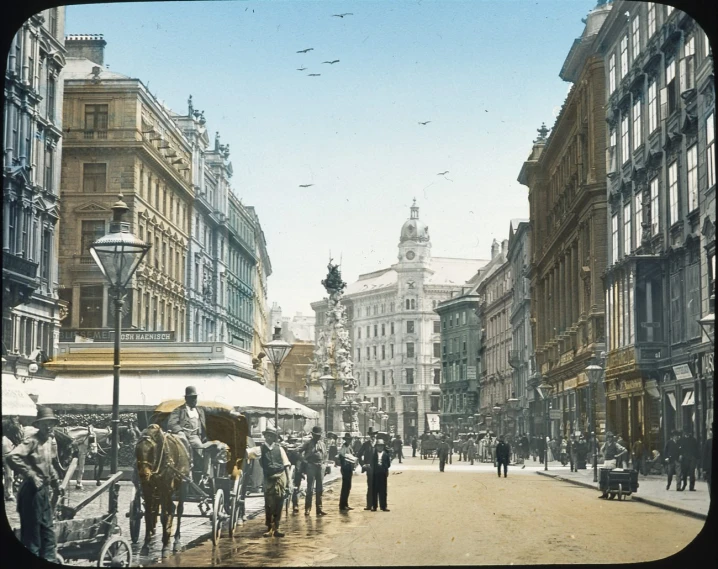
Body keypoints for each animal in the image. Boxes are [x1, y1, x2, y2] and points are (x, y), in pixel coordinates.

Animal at [135, 424, 191, 556]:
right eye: (137, 450)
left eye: (151, 450)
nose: (144, 474)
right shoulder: (148, 488)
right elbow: (148, 514)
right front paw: (146, 545)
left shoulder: (164, 488)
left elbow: (164, 516)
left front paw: (165, 547)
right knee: (172, 508)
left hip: (182, 486)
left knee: (179, 510)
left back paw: (176, 541)